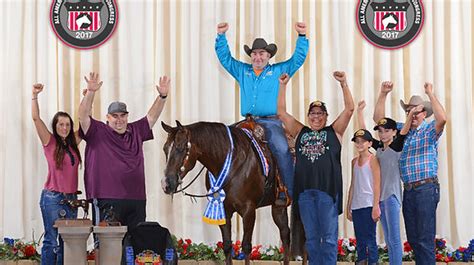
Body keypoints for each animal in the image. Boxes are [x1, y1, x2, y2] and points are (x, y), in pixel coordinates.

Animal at [161, 121, 290, 264]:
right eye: (165, 149)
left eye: (180, 148)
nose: (166, 184)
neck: (233, 163)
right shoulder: (224, 210)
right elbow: (227, 245)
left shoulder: (249, 210)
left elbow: (246, 247)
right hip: (278, 208)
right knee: (285, 233)